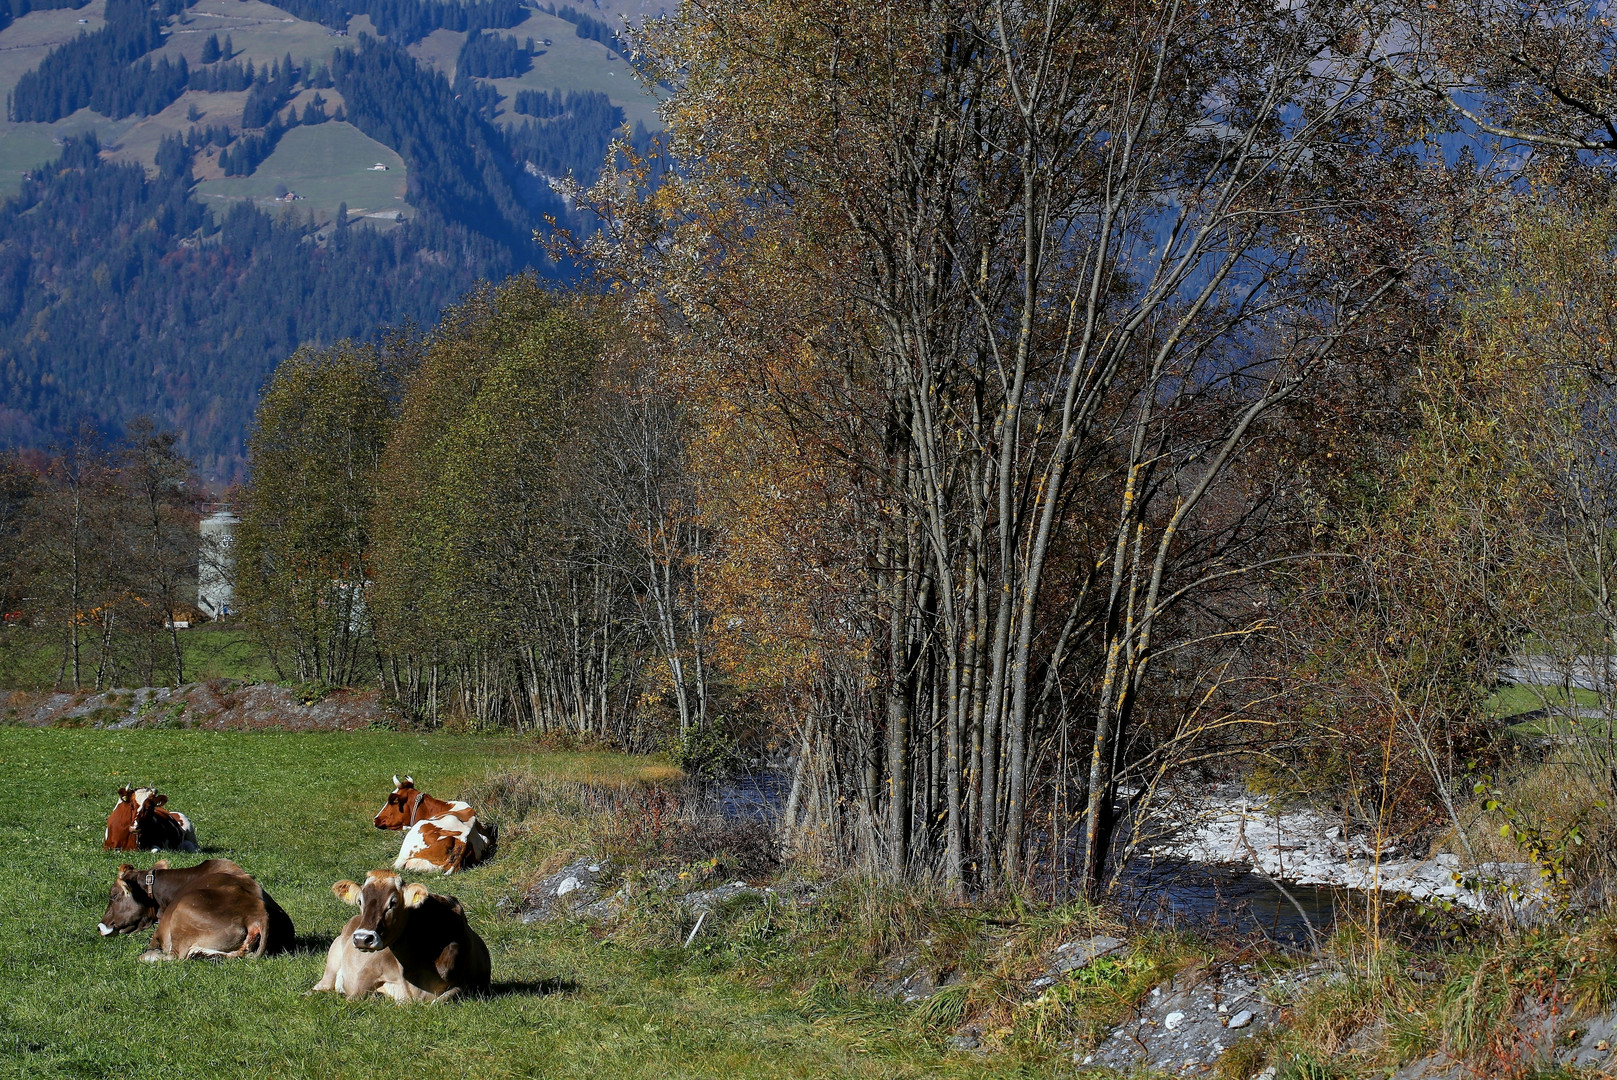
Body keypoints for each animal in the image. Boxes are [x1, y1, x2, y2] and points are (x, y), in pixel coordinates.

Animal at [310, 866, 491, 1002]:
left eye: (393, 902)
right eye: (360, 901)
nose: (362, 938)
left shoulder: (468, 985)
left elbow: (441, 1000)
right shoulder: (368, 971)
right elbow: (354, 997)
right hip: (332, 961)